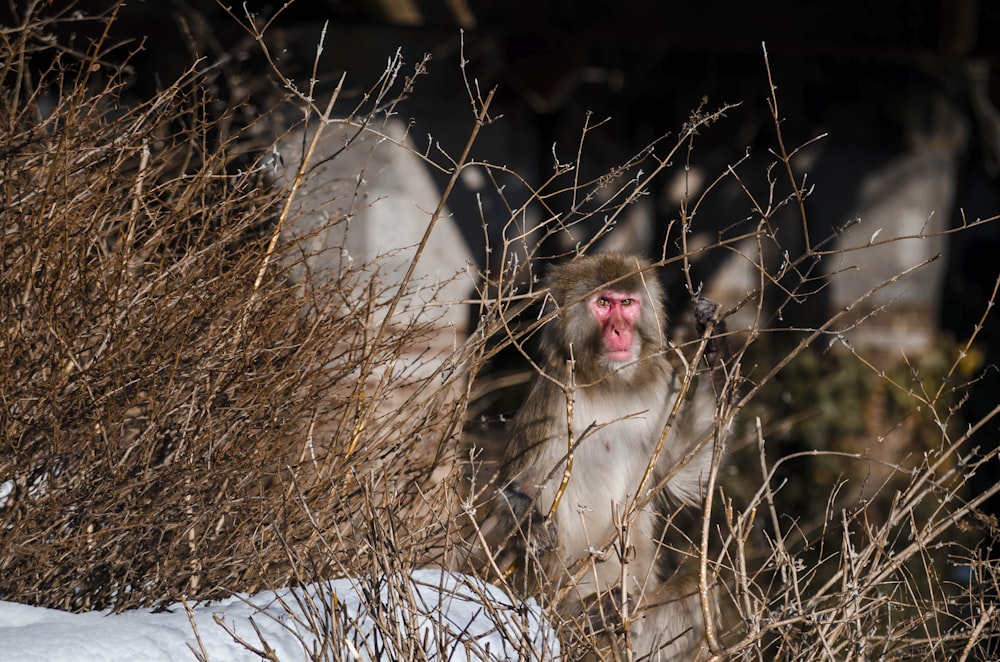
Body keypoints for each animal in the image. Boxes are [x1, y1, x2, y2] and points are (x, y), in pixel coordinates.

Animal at [472, 253, 732, 660]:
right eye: (604, 303)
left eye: (627, 303)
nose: (620, 331)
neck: (611, 382)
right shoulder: (553, 395)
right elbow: (517, 489)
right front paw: (531, 527)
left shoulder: (663, 382)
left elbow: (684, 467)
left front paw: (715, 347)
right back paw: (595, 614)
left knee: (692, 589)